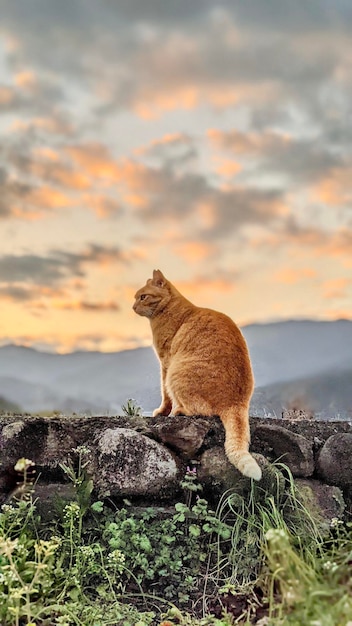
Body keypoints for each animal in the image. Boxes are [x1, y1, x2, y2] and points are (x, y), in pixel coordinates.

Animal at [133, 266, 262, 478]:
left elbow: (165, 395)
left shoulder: (165, 363)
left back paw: (179, 411)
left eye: (143, 297)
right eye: (135, 297)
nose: (133, 307)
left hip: (176, 371)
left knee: (200, 411)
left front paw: (163, 411)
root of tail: (237, 402)